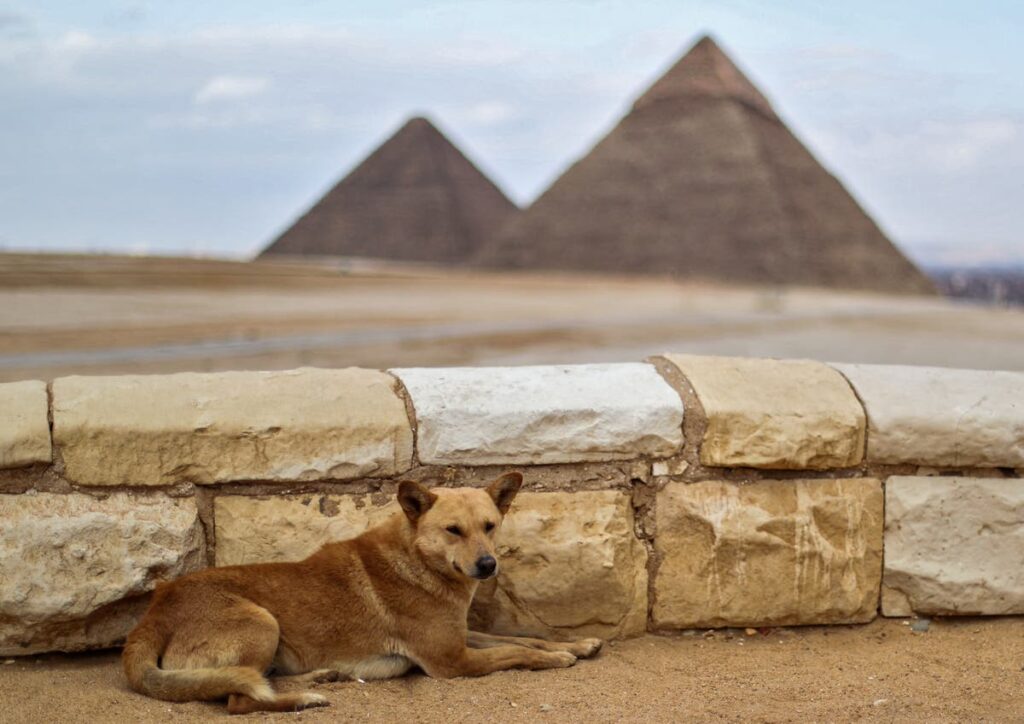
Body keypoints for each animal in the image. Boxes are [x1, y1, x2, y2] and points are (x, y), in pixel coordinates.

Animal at [120, 473, 602, 716]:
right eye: (453, 531)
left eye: (490, 526)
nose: (488, 565)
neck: (416, 560)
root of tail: (156, 610)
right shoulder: (452, 661)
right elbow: (516, 652)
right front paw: (557, 658)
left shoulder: (460, 636)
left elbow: (520, 637)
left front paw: (576, 643)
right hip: (262, 621)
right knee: (239, 699)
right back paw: (304, 699)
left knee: (251, 683)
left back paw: (316, 678)